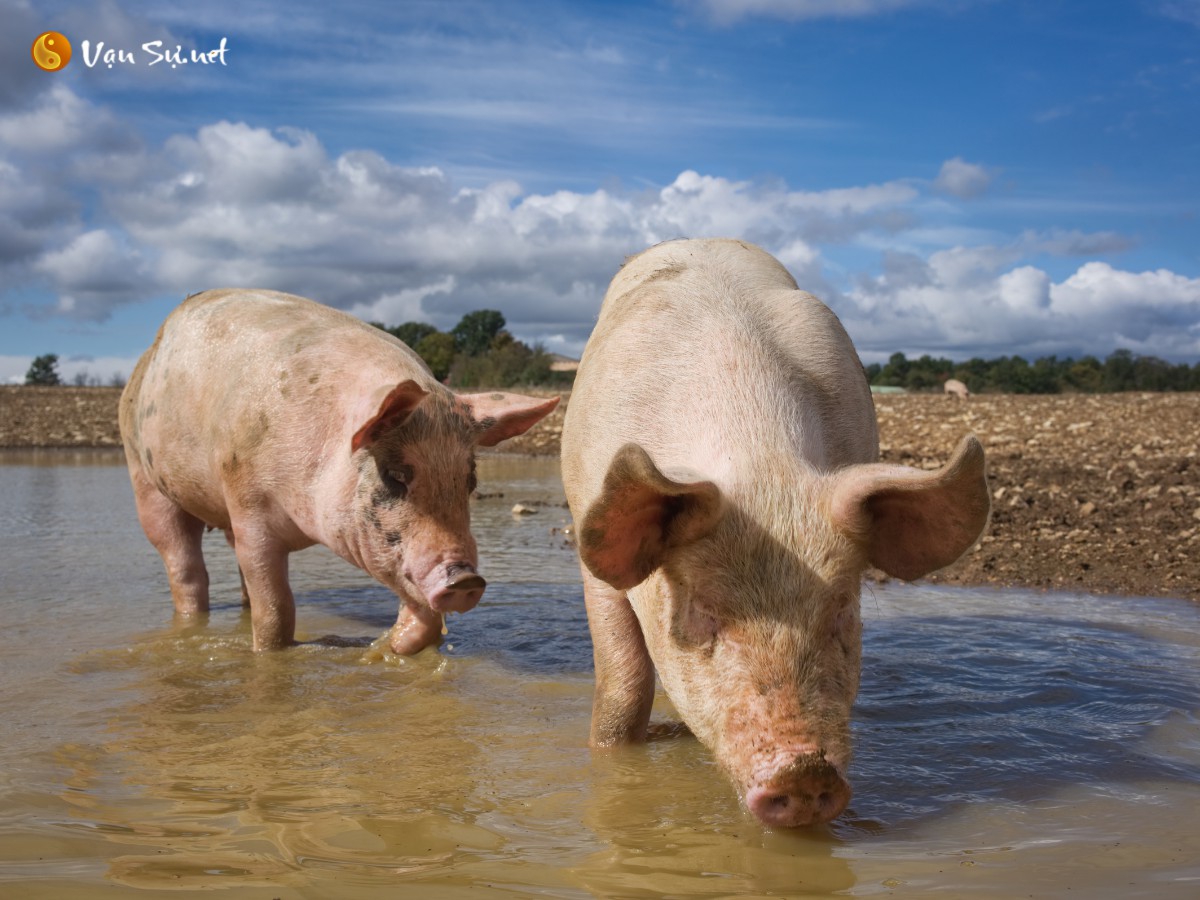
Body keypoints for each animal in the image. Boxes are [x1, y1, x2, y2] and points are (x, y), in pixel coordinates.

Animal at [117, 294, 556, 657]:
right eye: (396, 475)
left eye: (470, 481)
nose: (467, 579)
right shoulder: (246, 499)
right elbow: (276, 609)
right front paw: (272, 653)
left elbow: (419, 608)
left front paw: (391, 648)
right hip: (143, 473)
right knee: (185, 566)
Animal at [556, 241, 988, 830]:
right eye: (704, 612)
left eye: (842, 612)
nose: (805, 772)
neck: (762, 469)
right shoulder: (592, 550)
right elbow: (624, 682)